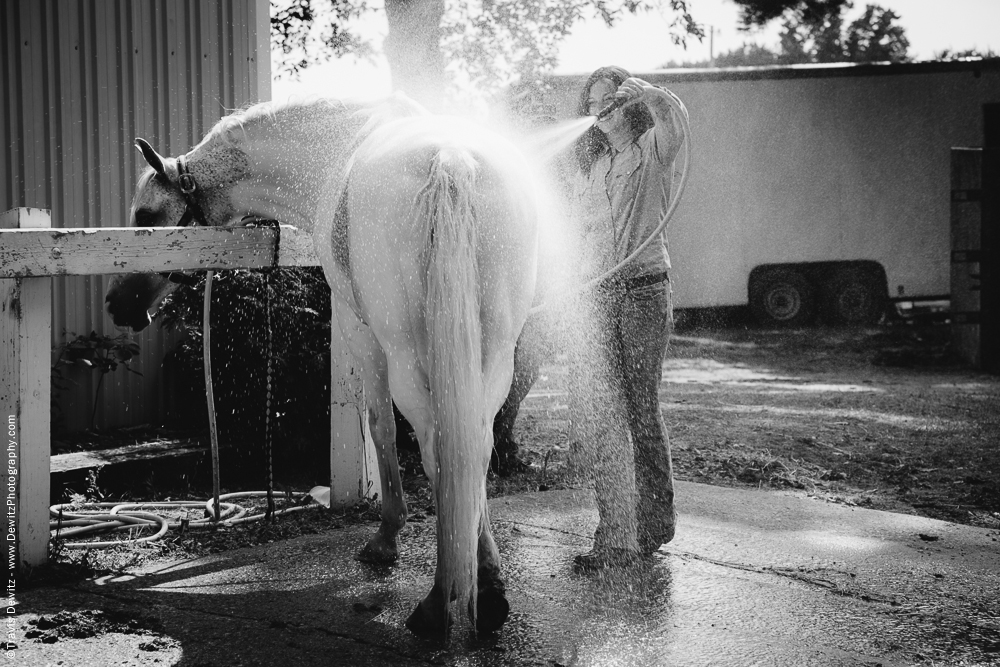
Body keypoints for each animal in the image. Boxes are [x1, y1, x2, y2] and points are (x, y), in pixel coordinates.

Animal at [106, 98, 544, 636]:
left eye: (146, 214)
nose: (118, 305)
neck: (339, 146)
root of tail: (451, 159)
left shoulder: (361, 333)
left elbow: (379, 428)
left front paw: (387, 537)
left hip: (407, 355)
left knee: (438, 447)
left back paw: (439, 602)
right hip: (494, 353)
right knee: (473, 446)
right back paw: (489, 587)